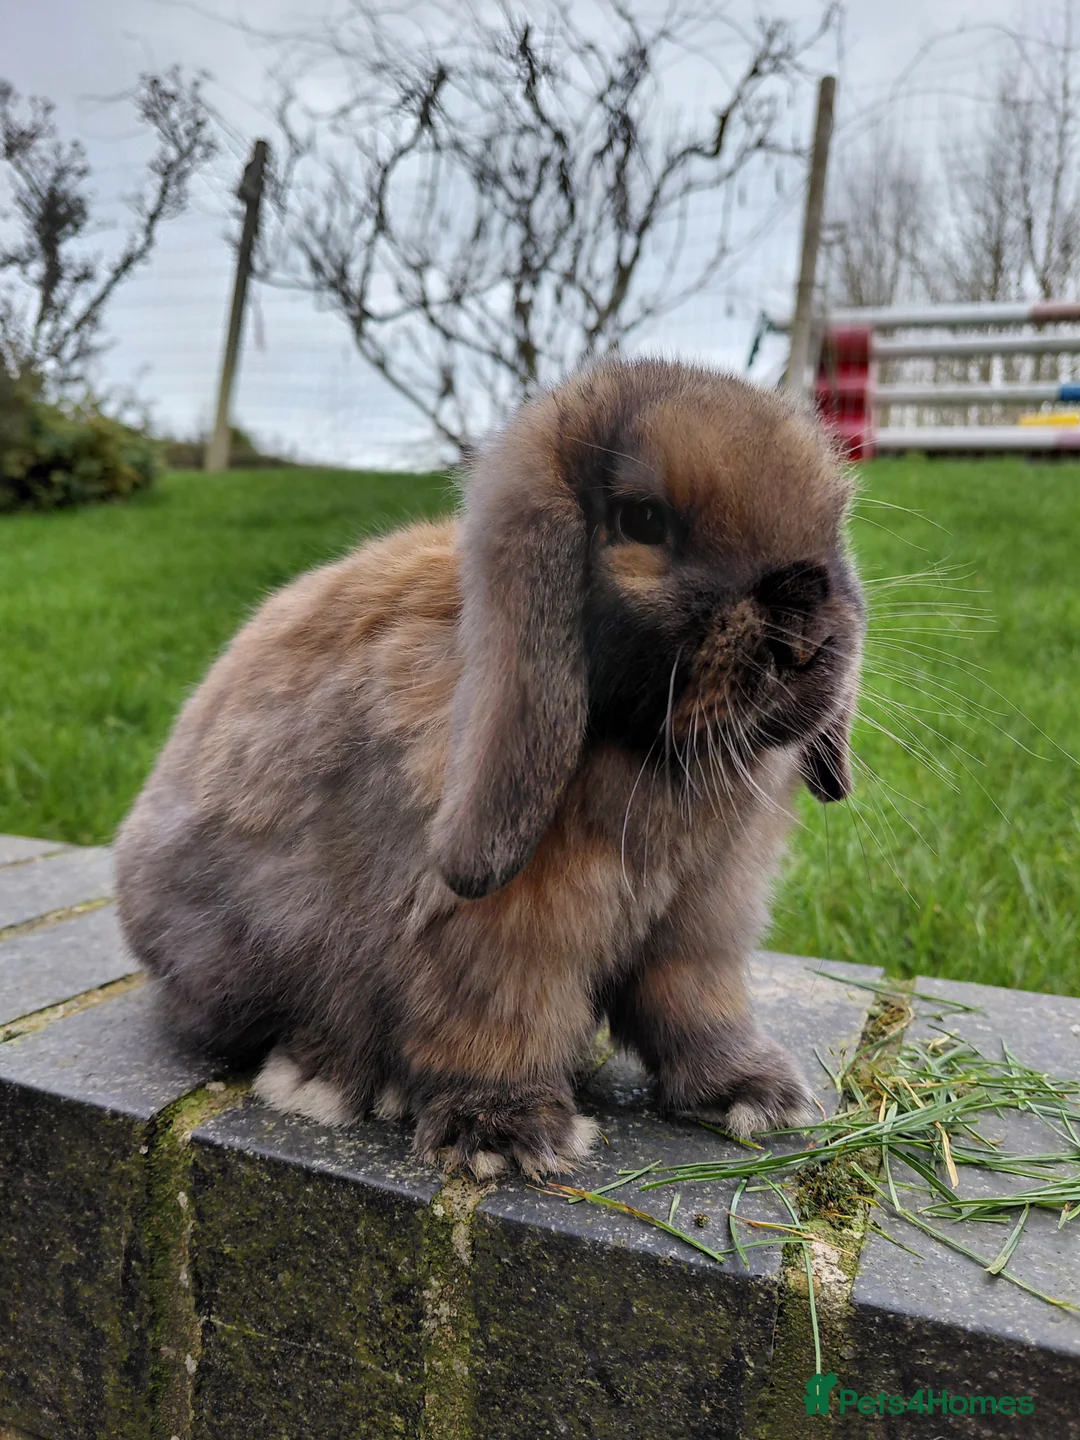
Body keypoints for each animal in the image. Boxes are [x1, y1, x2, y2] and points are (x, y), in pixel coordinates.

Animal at [115, 356, 865, 1180]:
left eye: (831, 524)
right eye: (643, 520)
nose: (805, 631)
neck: (649, 753)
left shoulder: (701, 925)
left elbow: (697, 1007)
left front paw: (756, 1095)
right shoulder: (492, 936)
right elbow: (499, 1022)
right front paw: (509, 1138)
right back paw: (329, 1079)